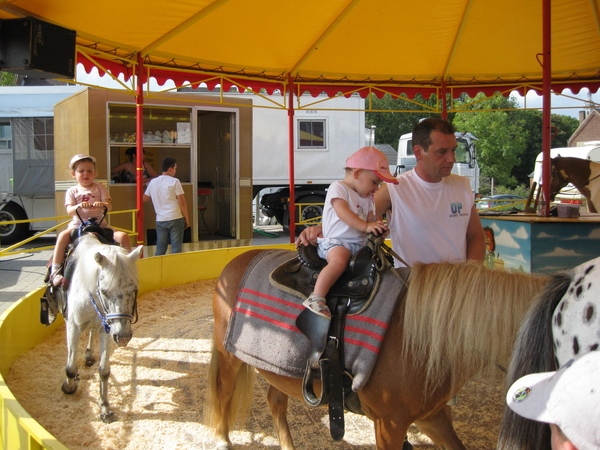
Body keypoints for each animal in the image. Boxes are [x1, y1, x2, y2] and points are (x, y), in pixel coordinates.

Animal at [60, 232, 143, 422]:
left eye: (134, 289)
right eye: (104, 291)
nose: (124, 337)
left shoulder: (108, 328)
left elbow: (104, 370)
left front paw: (105, 407)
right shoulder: (73, 326)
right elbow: (71, 366)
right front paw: (69, 387)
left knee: (91, 331)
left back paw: (89, 355)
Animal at [206, 248, 548, 448]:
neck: (419, 335)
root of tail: (239, 259)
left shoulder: (432, 416)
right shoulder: (390, 425)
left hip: (280, 366)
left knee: (276, 401)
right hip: (229, 354)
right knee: (223, 391)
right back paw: (222, 439)